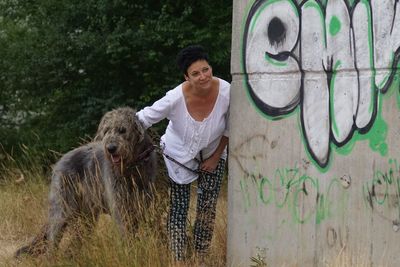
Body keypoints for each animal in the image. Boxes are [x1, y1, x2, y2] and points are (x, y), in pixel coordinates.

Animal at [15, 107, 156, 258]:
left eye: (122, 130)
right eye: (106, 130)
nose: (111, 148)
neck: (131, 168)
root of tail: (60, 160)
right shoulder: (120, 206)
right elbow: (126, 232)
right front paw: (130, 254)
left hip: (87, 216)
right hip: (62, 209)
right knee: (53, 240)